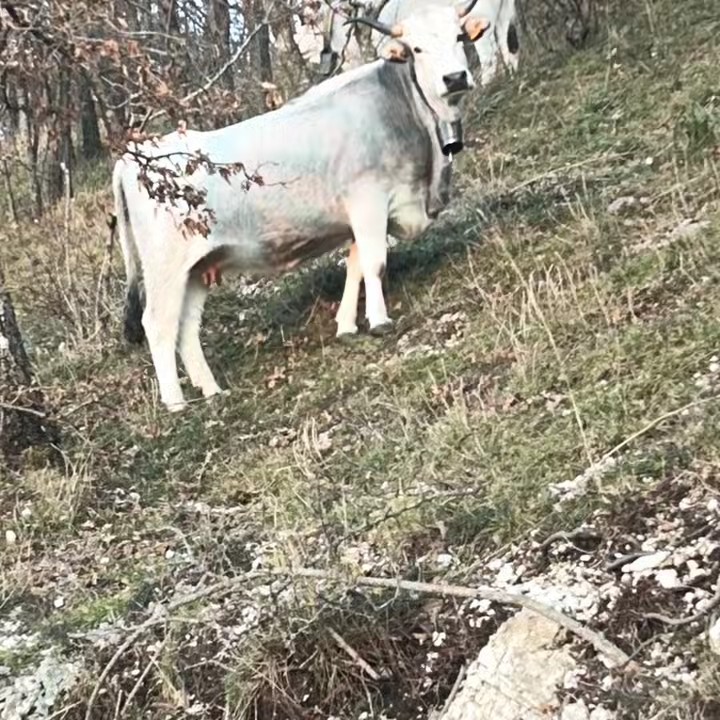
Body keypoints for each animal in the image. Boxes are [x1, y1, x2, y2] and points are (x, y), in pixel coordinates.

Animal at [113, 0, 489, 412]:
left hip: (196, 269)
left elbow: (355, 265)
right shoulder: (368, 201)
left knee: (186, 328)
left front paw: (346, 325)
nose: (454, 78)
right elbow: (374, 263)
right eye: (417, 49)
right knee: (158, 325)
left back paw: (212, 391)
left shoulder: (358, 217)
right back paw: (176, 404)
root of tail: (137, 155)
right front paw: (378, 320)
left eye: (459, 36)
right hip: (165, 267)